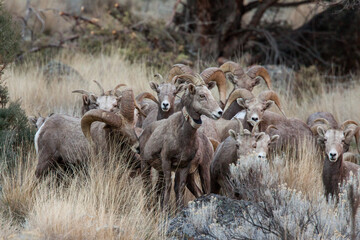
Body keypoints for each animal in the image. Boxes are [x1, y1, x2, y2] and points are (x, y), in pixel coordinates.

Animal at [139, 74, 224, 207]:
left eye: (209, 93)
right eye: (202, 95)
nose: (219, 112)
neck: (183, 136)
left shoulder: (184, 166)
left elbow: (179, 189)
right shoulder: (166, 162)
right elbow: (167, 187)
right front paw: (165, 209)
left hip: (203, 170)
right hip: (145, 164)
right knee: (147, 185)